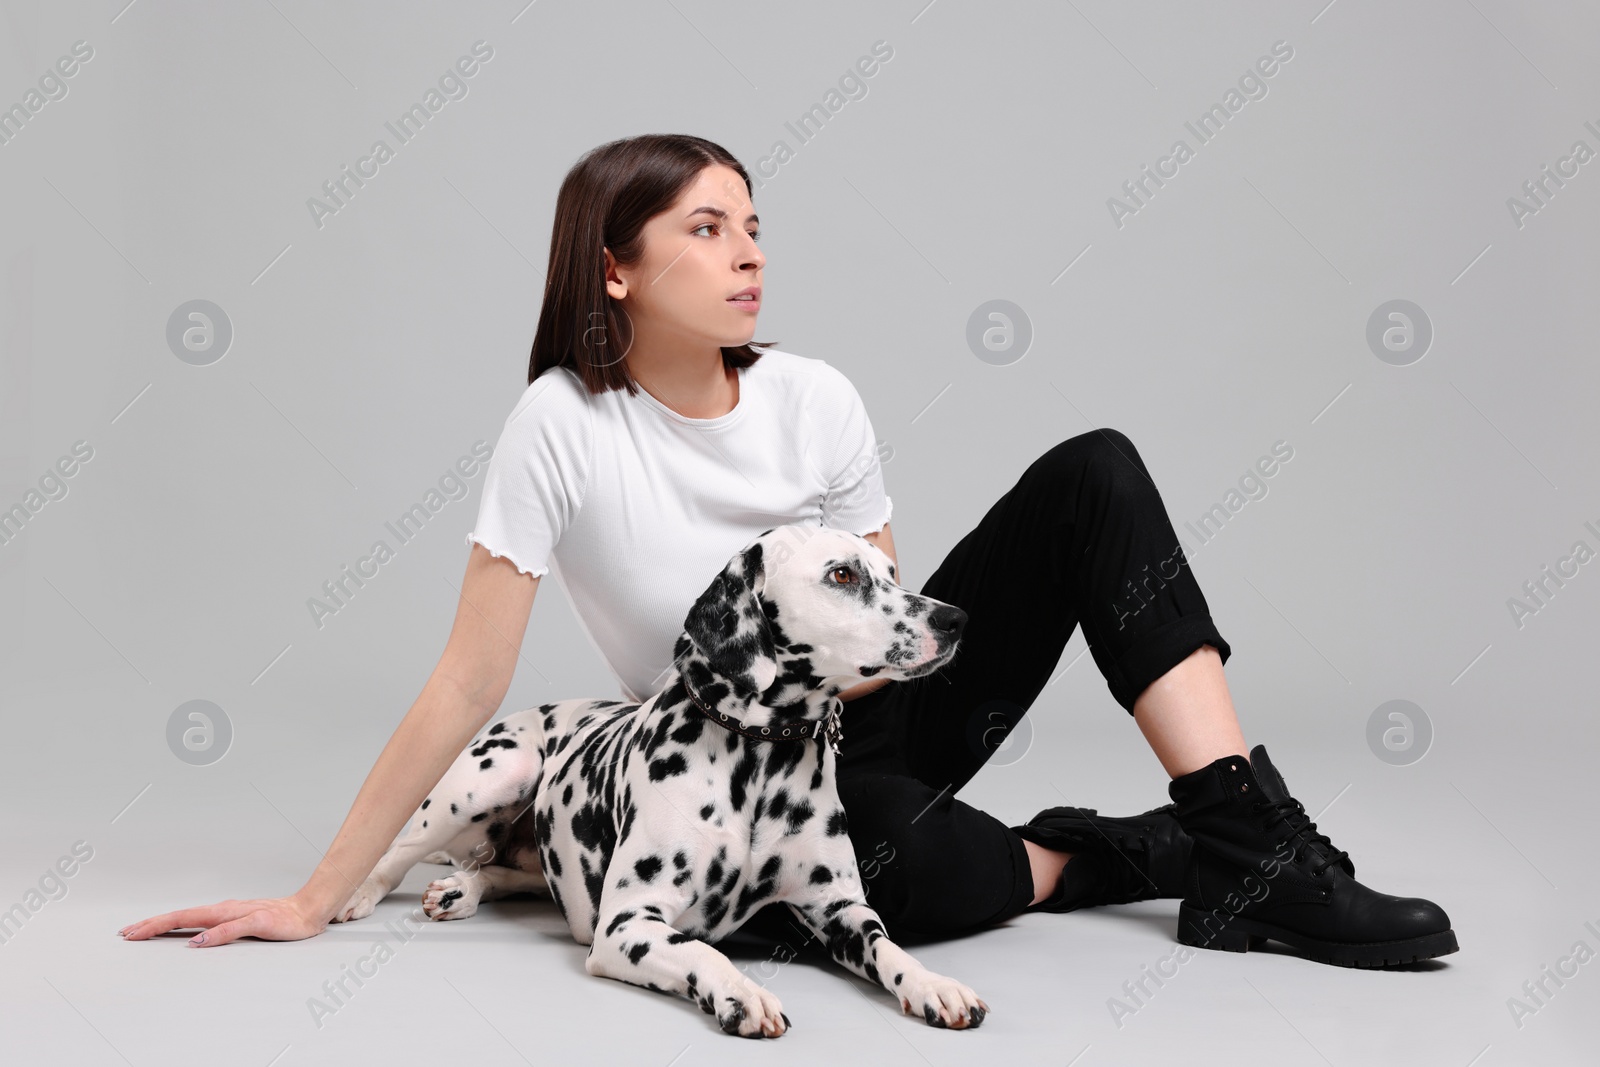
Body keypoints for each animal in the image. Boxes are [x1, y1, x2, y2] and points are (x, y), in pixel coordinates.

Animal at [337, 521, 985, 1036]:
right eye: (843, 574)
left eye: (891, 572)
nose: (956, 619)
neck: (759, 758)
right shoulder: (628, 924)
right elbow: (701, 952)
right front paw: (742, 992)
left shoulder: (841, 909)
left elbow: (890, 948)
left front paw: (933, 983)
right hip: (485, 781)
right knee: (395, 848)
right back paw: (357, 894)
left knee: (509, 875)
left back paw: (463, 889)